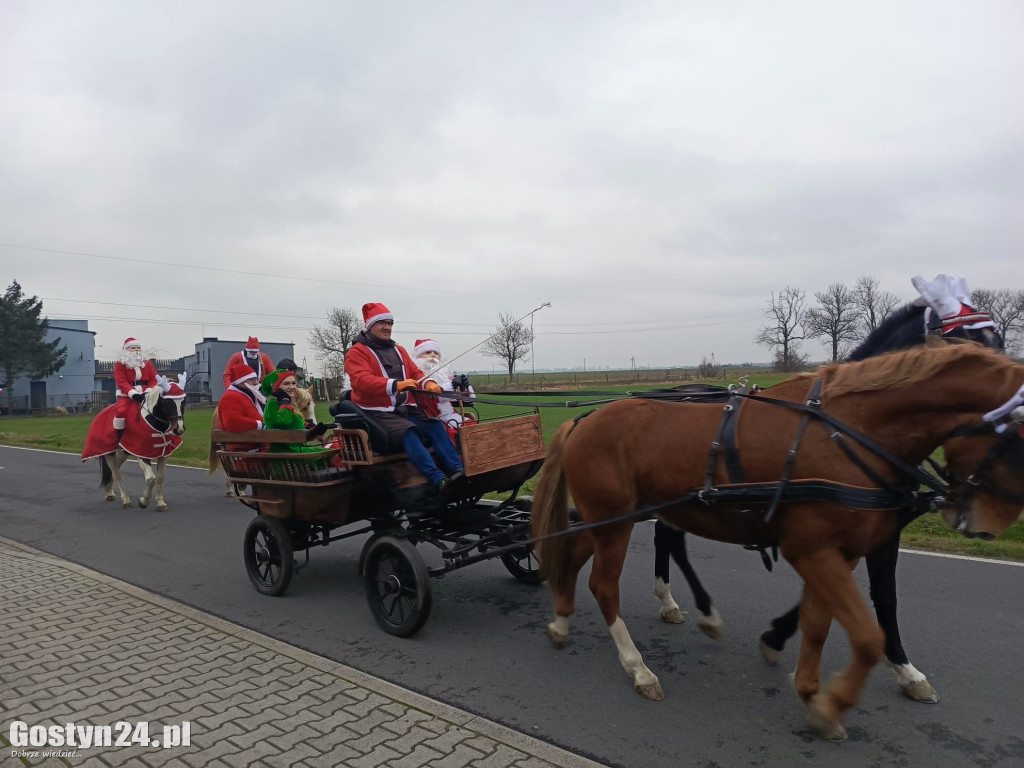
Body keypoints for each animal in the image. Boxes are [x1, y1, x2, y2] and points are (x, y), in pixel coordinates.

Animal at [532, 346, 1024, 741]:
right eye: (1018, 437)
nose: (988, 524)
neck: (850, 432)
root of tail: (583, 418)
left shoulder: (836, 553)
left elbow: (820, 623)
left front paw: (810, 691)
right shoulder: (815, 552)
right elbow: (868, 634)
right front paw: (832, 702)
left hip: (613, 519)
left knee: (574, 556)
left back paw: (561, 620)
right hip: (614, 522)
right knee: (604, 586)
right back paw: (638, 667)